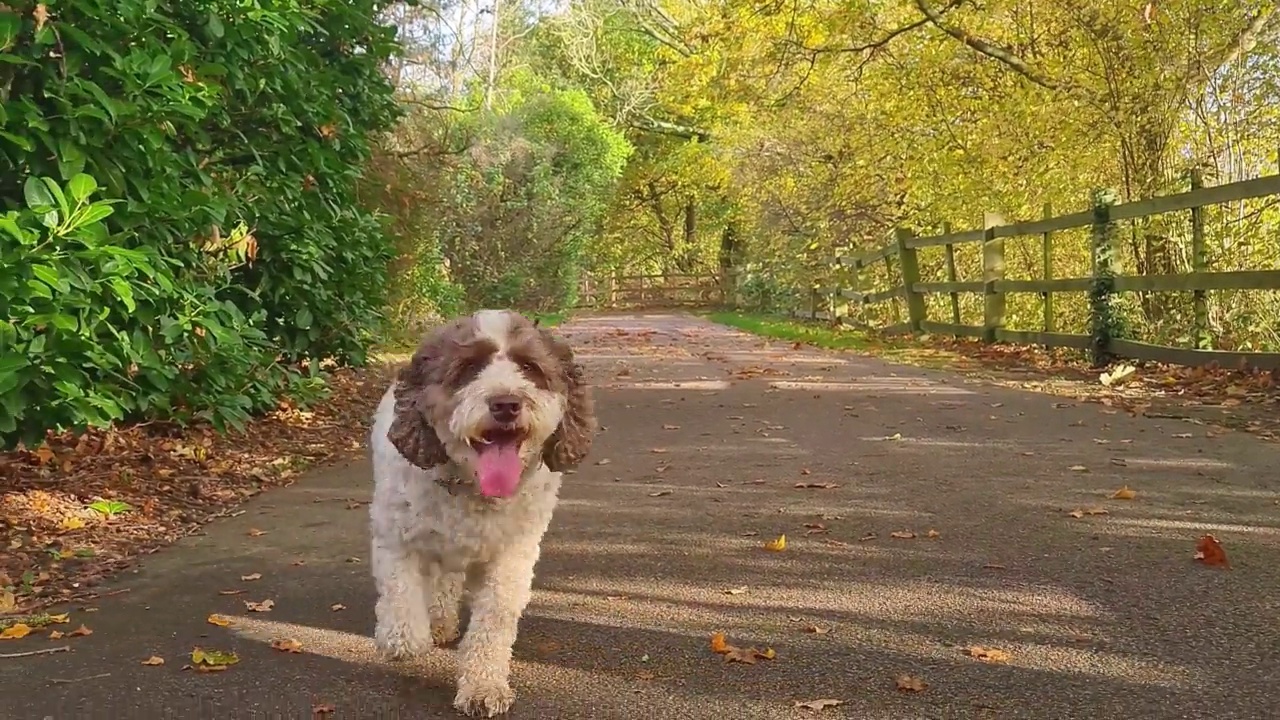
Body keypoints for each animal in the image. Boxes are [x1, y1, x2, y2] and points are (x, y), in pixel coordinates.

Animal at [366, 307, 593, 712]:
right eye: (468, 368)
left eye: (529, 366)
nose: (506, 403)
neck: (470, 486)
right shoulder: (395, 534)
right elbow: (400, 592)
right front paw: (402, 637)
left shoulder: (512, 555)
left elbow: (494, 621)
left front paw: (483, 686)